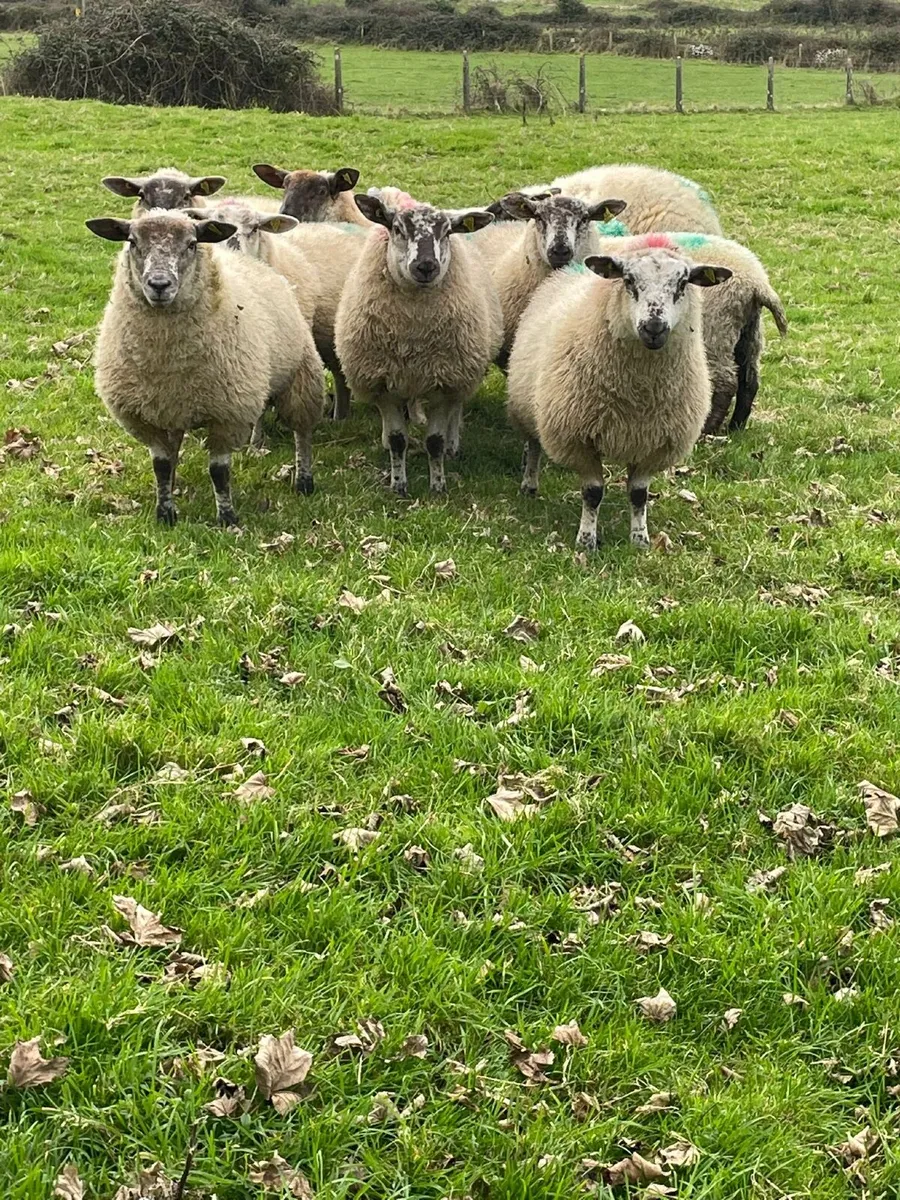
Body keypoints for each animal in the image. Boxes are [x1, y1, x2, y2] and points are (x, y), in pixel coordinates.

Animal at [86, 209, 325, 525]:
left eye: (191, 244)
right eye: (132, 241)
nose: (159, 284)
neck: (167, 360)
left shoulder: (228, 413)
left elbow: (219, 472)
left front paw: (227, 518)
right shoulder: (149, 417)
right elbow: (161, 465)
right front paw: (165, 513)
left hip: (301, 377)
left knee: (303, 433)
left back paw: (304, 481)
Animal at [334, 197, 501, 496]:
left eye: (447, 232)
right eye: (397, 228)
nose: (426, 266)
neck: (413, 332)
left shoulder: (445, 383)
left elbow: (434, 440)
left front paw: (438, 485)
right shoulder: (382, 383)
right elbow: (397, 438)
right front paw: (398, 484)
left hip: (463, 372)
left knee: (456, 409)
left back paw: (452, 445)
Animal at [506, 245, 732, 549]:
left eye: (683, 283)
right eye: (628, 280)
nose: (653, 327)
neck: (639, 395)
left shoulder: (654, 444)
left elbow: (638, 495)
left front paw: (640, 539)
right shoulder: (579, 439)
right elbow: (592, 493)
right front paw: (586, 541)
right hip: (528, 408)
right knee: (533, 447)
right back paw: (529, 484)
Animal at [593, 232, 787, 433]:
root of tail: (757, 282)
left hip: (715, 330)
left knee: (725, 381)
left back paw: (707, 429)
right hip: (749, 332)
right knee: (749, 381)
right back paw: (735, 427)